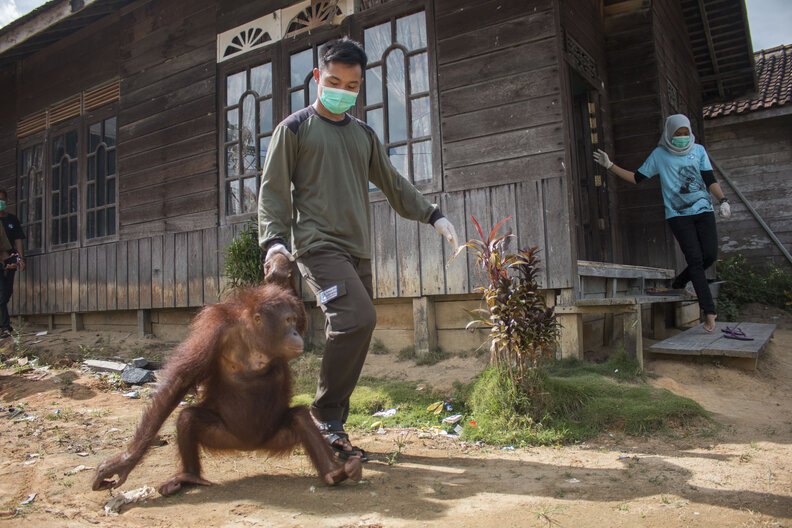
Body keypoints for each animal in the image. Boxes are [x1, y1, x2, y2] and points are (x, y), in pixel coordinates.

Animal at [92, 254, 362, 496]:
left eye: (295, 321)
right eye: (287, 321)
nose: (295, 333)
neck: (253, 339)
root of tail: (251, 446)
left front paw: (280, 264)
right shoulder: (213, 331)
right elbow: (179, 382)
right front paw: (124, 462)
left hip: (276, 435)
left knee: (301, 418)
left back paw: (334, 473)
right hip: (223, 436)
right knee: (187, 418)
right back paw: (189, 476)